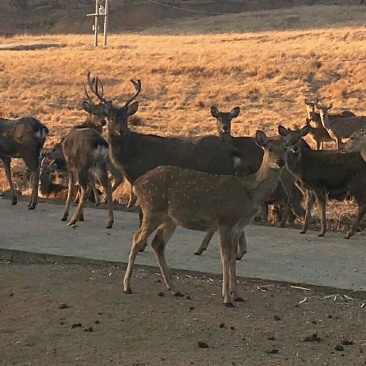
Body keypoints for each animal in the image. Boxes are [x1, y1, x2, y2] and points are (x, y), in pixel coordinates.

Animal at [123, 130, 304, 308]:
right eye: (269, 148)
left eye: (285, 148)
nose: (280, 162)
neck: (249, 193)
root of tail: (137, 184)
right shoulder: (225, 221)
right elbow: (226, 257)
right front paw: (227, 299)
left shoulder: (238, 227)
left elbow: (233, 258)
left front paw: (237, 295)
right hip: (152, 209)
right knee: (137, 238)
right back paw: (127, 286)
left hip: (170, 218)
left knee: (157, 244)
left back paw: (175, 289)